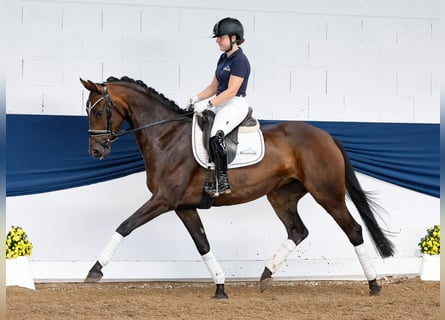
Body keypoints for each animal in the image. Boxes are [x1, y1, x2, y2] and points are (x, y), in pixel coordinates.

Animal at [79, 76, 392, 298]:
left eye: (98, 112)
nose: (95, 151)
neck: (166, 136)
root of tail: (326, 135)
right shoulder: (183, 206)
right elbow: (203, 243)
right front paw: (220, 287)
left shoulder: (164, 199)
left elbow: (125, 225)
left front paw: (94, 270)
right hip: (281, 196)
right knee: (298, 231)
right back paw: (266, 275)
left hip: (328, 194)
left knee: (353, 230)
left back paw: (373, 285)